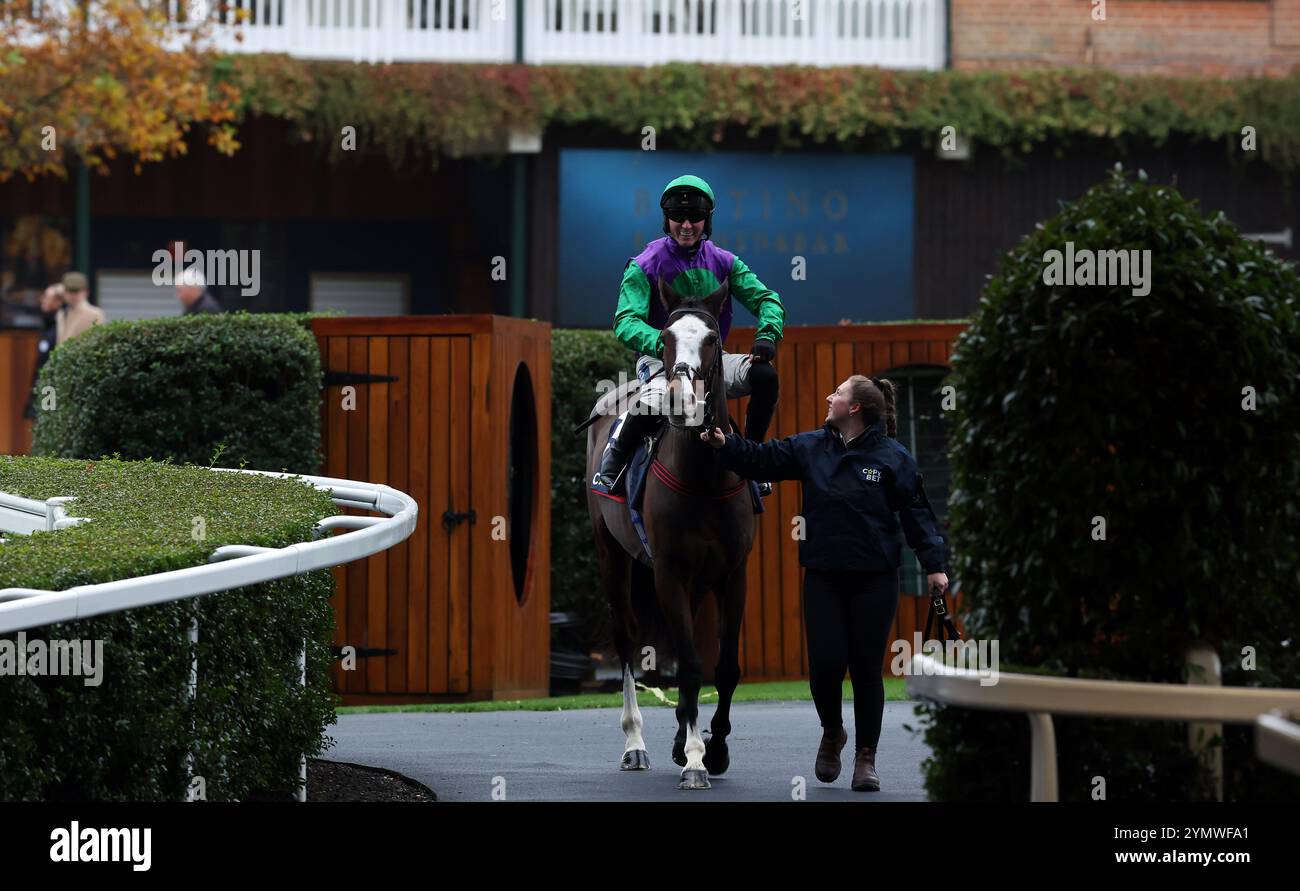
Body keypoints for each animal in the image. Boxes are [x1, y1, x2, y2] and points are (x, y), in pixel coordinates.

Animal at [585, 279, 759, 790]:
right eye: (664, 337)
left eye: (713, 340)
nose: (681, 398)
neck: (704, 477)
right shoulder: (669, 573)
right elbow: (691, 667)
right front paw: (697, 760)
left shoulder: (733, 574)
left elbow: (724, 667)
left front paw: (711, 749)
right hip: (612, 552)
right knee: (626, 636)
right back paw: (635, 744)